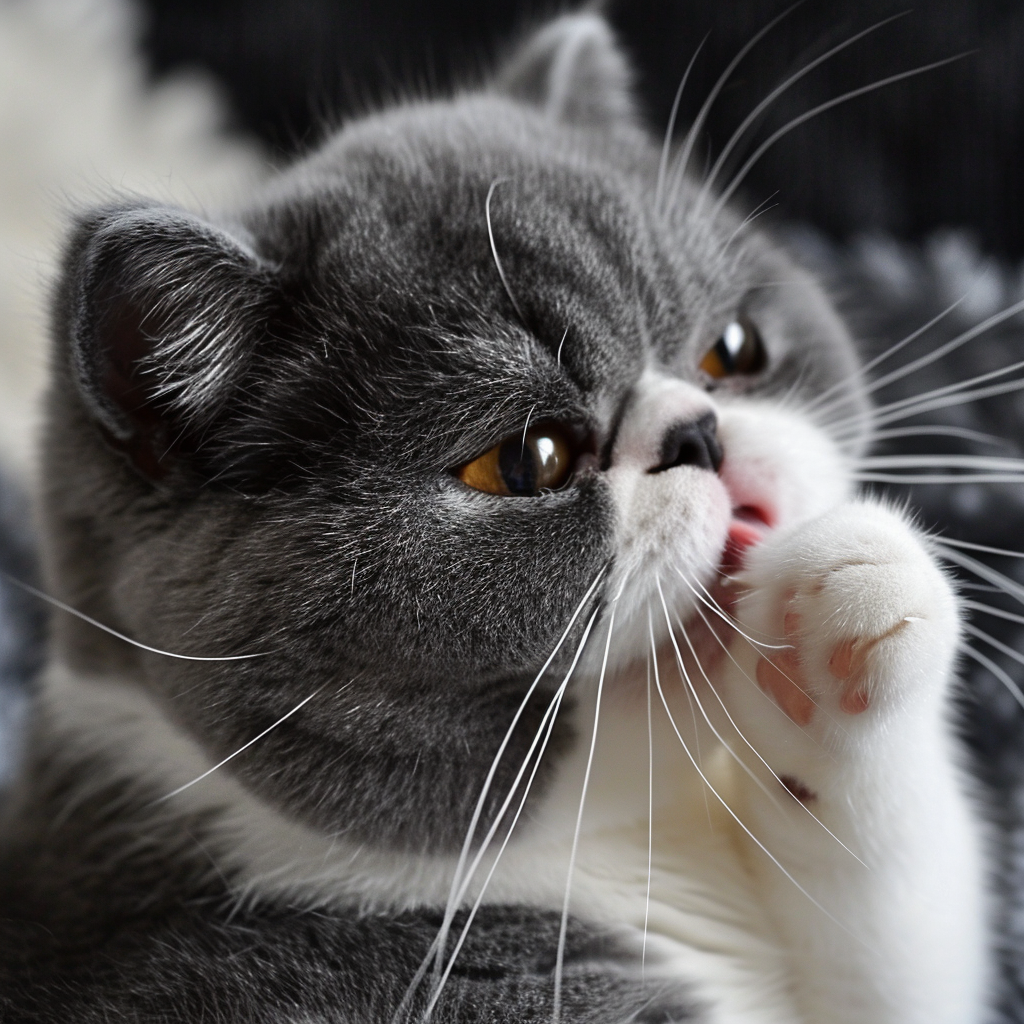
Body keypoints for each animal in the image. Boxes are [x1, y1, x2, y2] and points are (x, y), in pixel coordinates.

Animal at [0, 9, 995, 1024]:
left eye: (733, 350)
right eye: (527, 461)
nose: (701, 433)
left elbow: (895, 939)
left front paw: (839, 619)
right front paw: (846, 587)